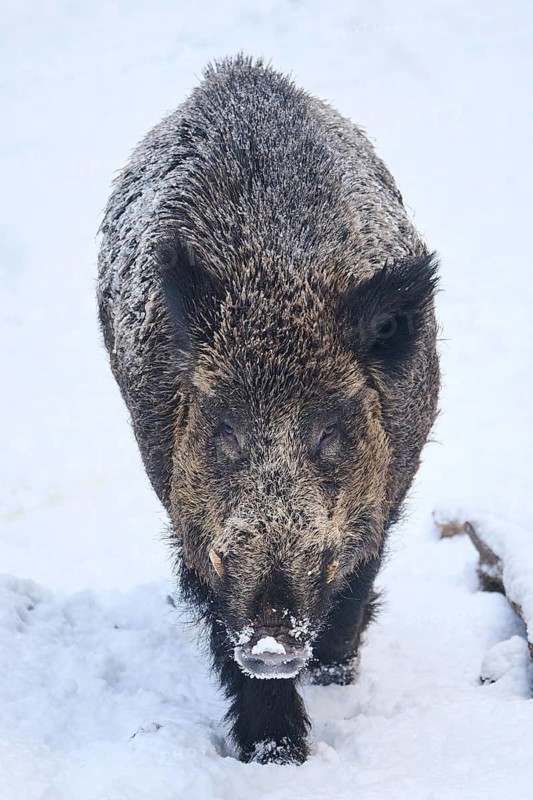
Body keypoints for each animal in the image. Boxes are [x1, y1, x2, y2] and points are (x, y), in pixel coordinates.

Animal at [97, 54, 439, 764]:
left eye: (330, 433)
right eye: (225, 432)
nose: (272, 639)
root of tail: (235, 70)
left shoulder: (389, 486)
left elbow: (358, 577)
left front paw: (331, 678)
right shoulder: (192, 516)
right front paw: (276, 756)